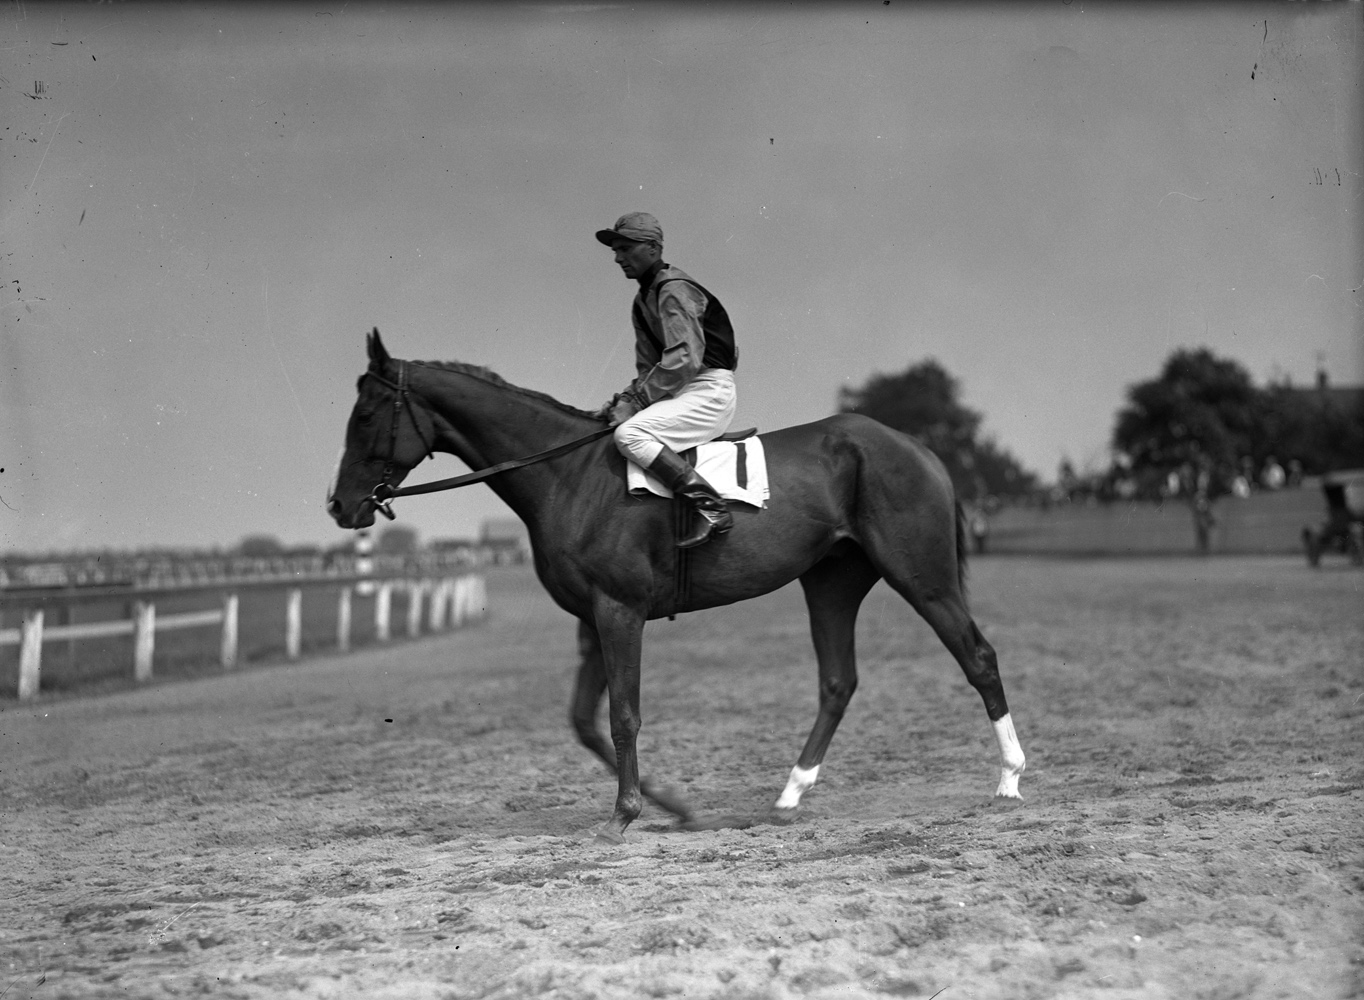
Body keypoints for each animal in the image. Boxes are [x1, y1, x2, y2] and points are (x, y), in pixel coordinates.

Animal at [324, 330, 1020, 840]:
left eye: (366, 413)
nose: (340, 505)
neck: (570, 475)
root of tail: (916, 447)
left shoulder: (619, 610)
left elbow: (624, 715)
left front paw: (624, 814)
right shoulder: (590, 618)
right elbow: (584, 721)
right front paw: (673, 806)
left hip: (922, 577)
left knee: (978, 656)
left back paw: (1010, 779)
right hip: (831, 582)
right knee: (837, 681)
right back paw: (789, 795)